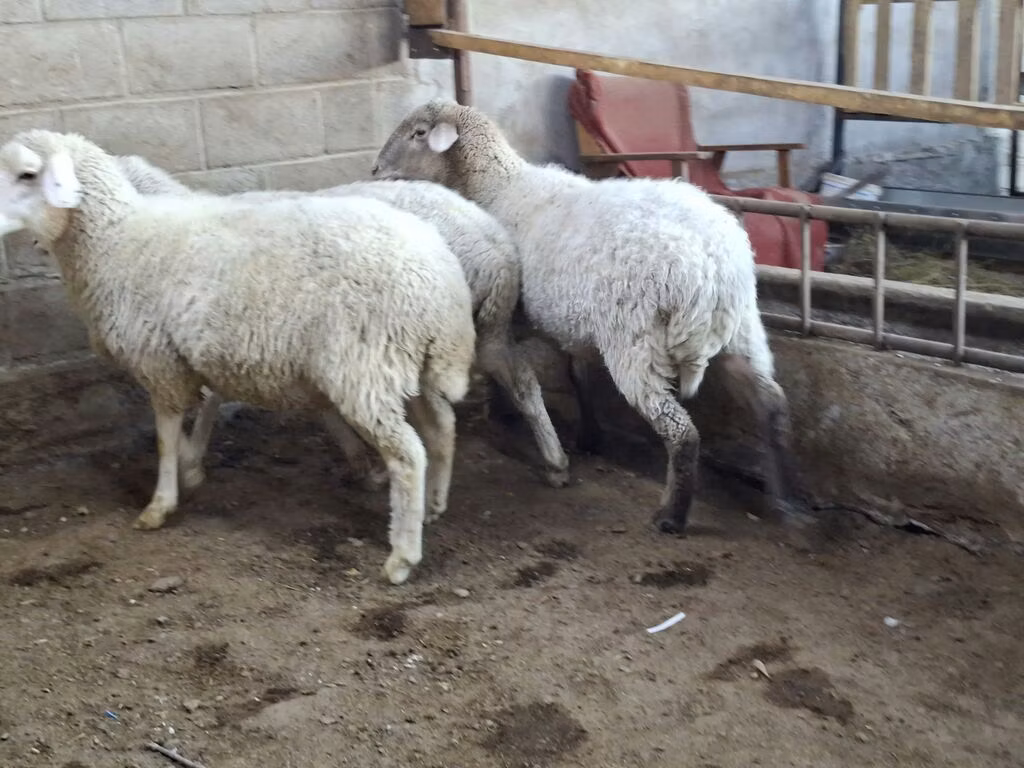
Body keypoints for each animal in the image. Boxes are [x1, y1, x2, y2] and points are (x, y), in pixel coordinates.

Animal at [0, 129, 477, 585]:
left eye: (28, 174)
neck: (115, 239)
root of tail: (439, 279)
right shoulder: (199, 355)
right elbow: (201, 415)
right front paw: (192, 469)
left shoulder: (158, 360)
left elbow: (165, 435)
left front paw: (161, 502)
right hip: (410, 363)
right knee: (441, 430)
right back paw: (434, 505)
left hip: (363, 366)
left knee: (408, 455)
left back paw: (402, 555)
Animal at [110, 154, 570, 491]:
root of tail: (496, 245)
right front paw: (362, 462)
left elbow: (214, 397)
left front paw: (190, 463)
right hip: (484, 327)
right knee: (519, 378)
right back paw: (551, 458)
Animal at [372, 99, 807, 534]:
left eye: (419, 133)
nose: (375, 170)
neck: (497, 186)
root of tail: (712, 261)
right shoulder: (572, 322)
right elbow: (577, 374)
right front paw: (589, 437)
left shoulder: (508, 315)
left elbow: (516, 374)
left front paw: (507, 417)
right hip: (741, 330)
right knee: (771, 403)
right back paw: (784, 502)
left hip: (636, 341)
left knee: (681, 431)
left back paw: (671, 515)